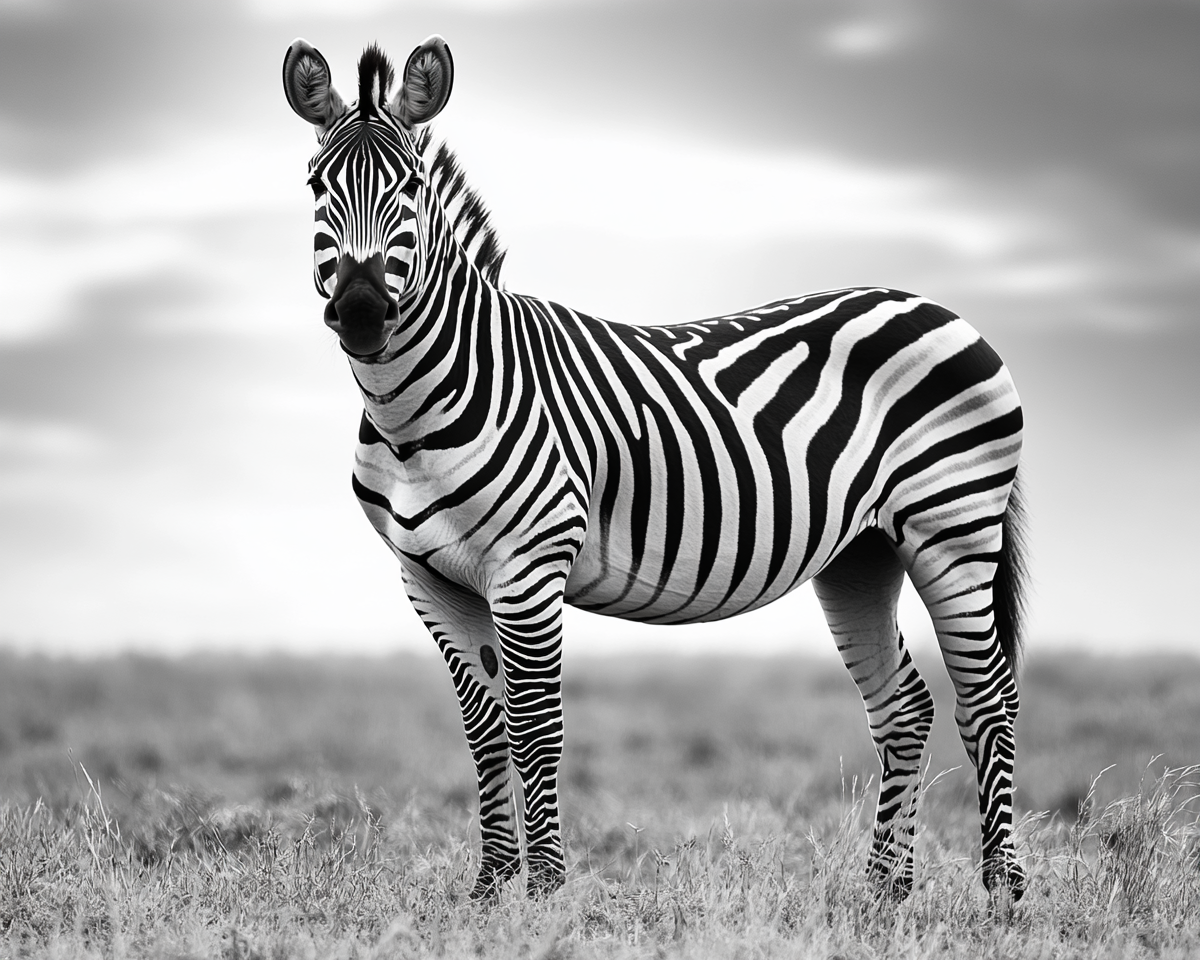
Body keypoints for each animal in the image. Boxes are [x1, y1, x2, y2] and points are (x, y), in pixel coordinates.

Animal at [282, 36, 1029, 903]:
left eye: (410, 187)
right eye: (316, 187)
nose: (362, 312)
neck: (417, 414)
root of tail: (938, 308)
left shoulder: (528, 570)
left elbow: (535, 726)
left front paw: (545, 890)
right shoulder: (428, 578)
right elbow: (484, 730)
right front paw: (490, 887)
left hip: (954, 525)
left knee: (988, 698)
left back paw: (1004, 891)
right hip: (862, 552)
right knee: (905, 706)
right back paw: (883, 891)